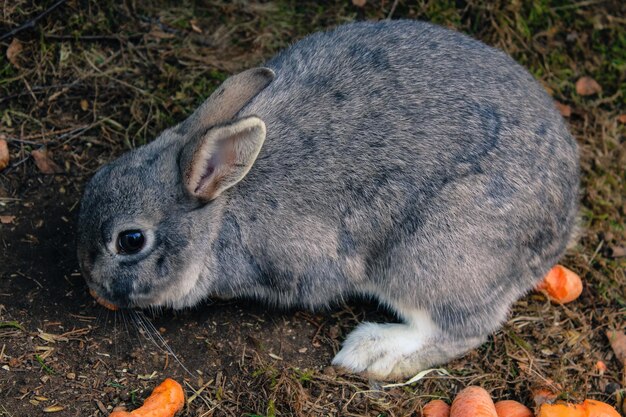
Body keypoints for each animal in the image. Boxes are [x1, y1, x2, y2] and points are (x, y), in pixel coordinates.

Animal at [77, 20, 576, 380]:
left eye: (130, 240)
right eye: (97, 179)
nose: (91, 284)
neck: (221, 212)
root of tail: (560, 227)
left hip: (429, 259)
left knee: (460, 327)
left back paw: (373, 354)